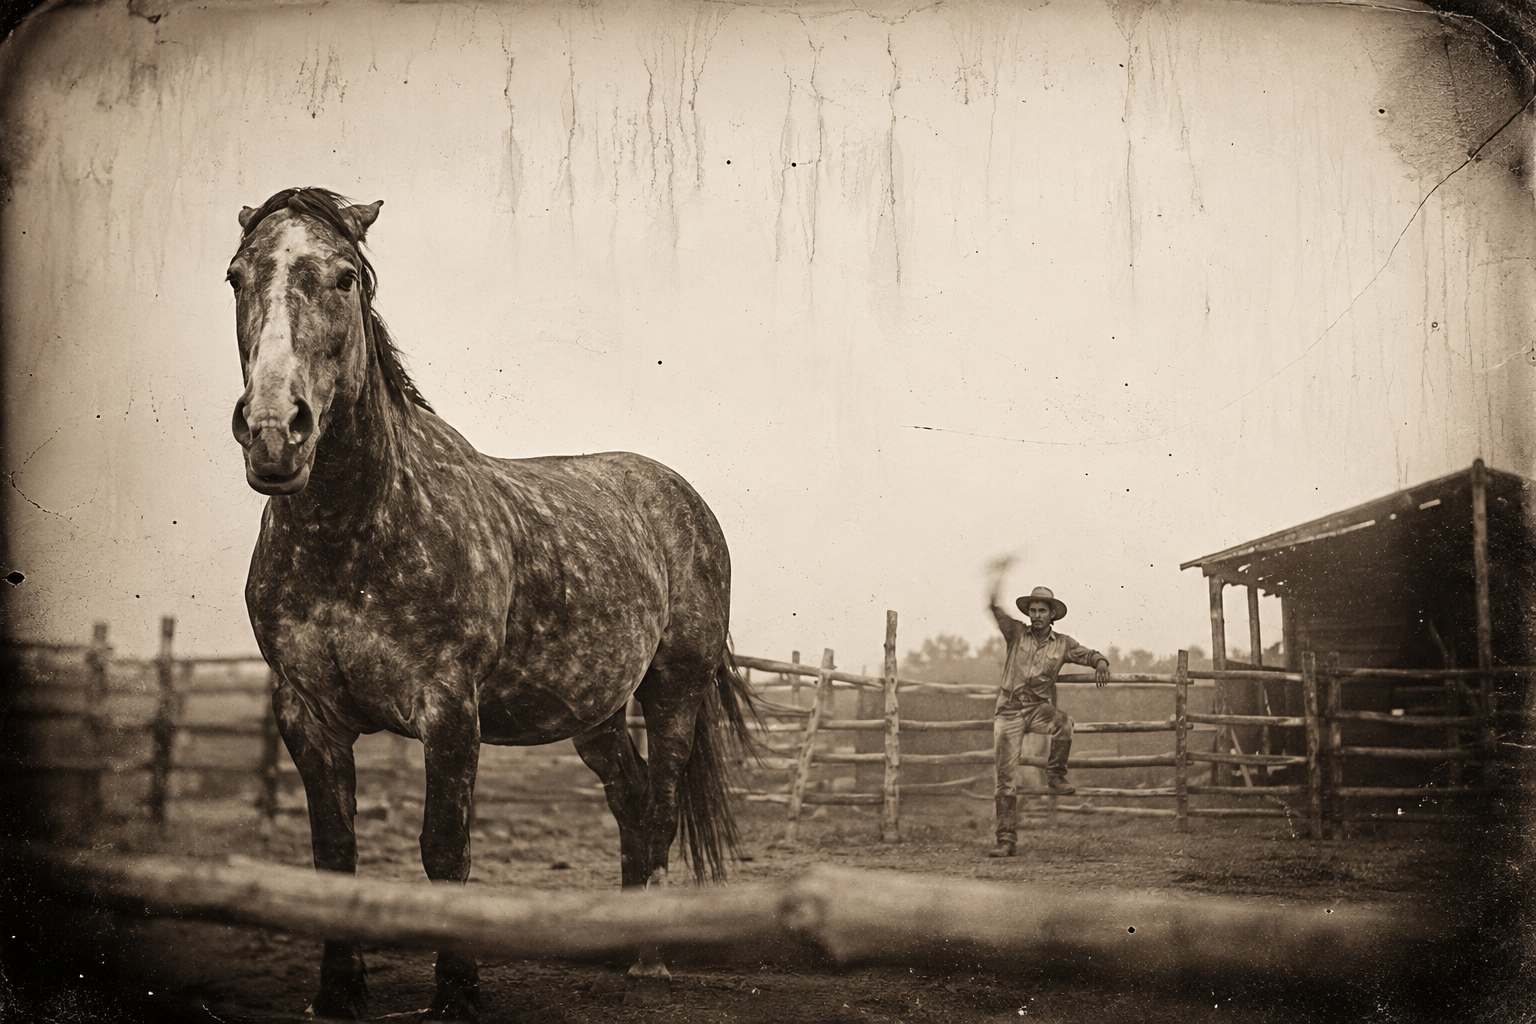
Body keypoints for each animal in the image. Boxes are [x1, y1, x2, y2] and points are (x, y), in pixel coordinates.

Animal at [226, 187, 756, 1020]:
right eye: (236, 276)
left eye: (345, 277)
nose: (276, 431)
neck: (356, 532)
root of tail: (679, 496)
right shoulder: (306, 713)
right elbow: (333, 852)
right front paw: (338, 994)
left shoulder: (450, 709)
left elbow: (445, 850)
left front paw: (458, 994)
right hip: (596, 714)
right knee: (631, 798)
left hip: (675, 689)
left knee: (661, 805)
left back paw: (648, 962)